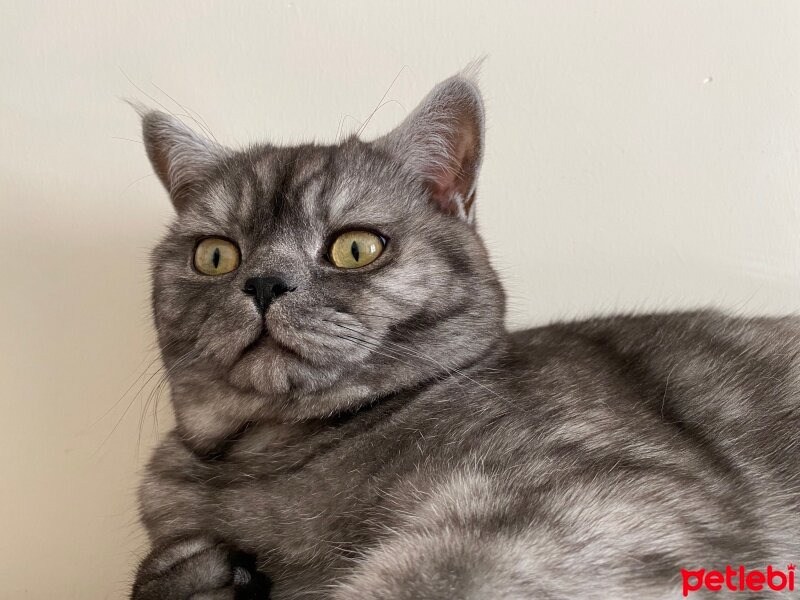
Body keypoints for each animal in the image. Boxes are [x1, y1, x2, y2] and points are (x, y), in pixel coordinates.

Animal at [131, 71, 800, 600]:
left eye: (356, 248)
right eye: (216, 255)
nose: (265, 283)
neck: (267, 457)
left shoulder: (597, 502)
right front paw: (199, 576)